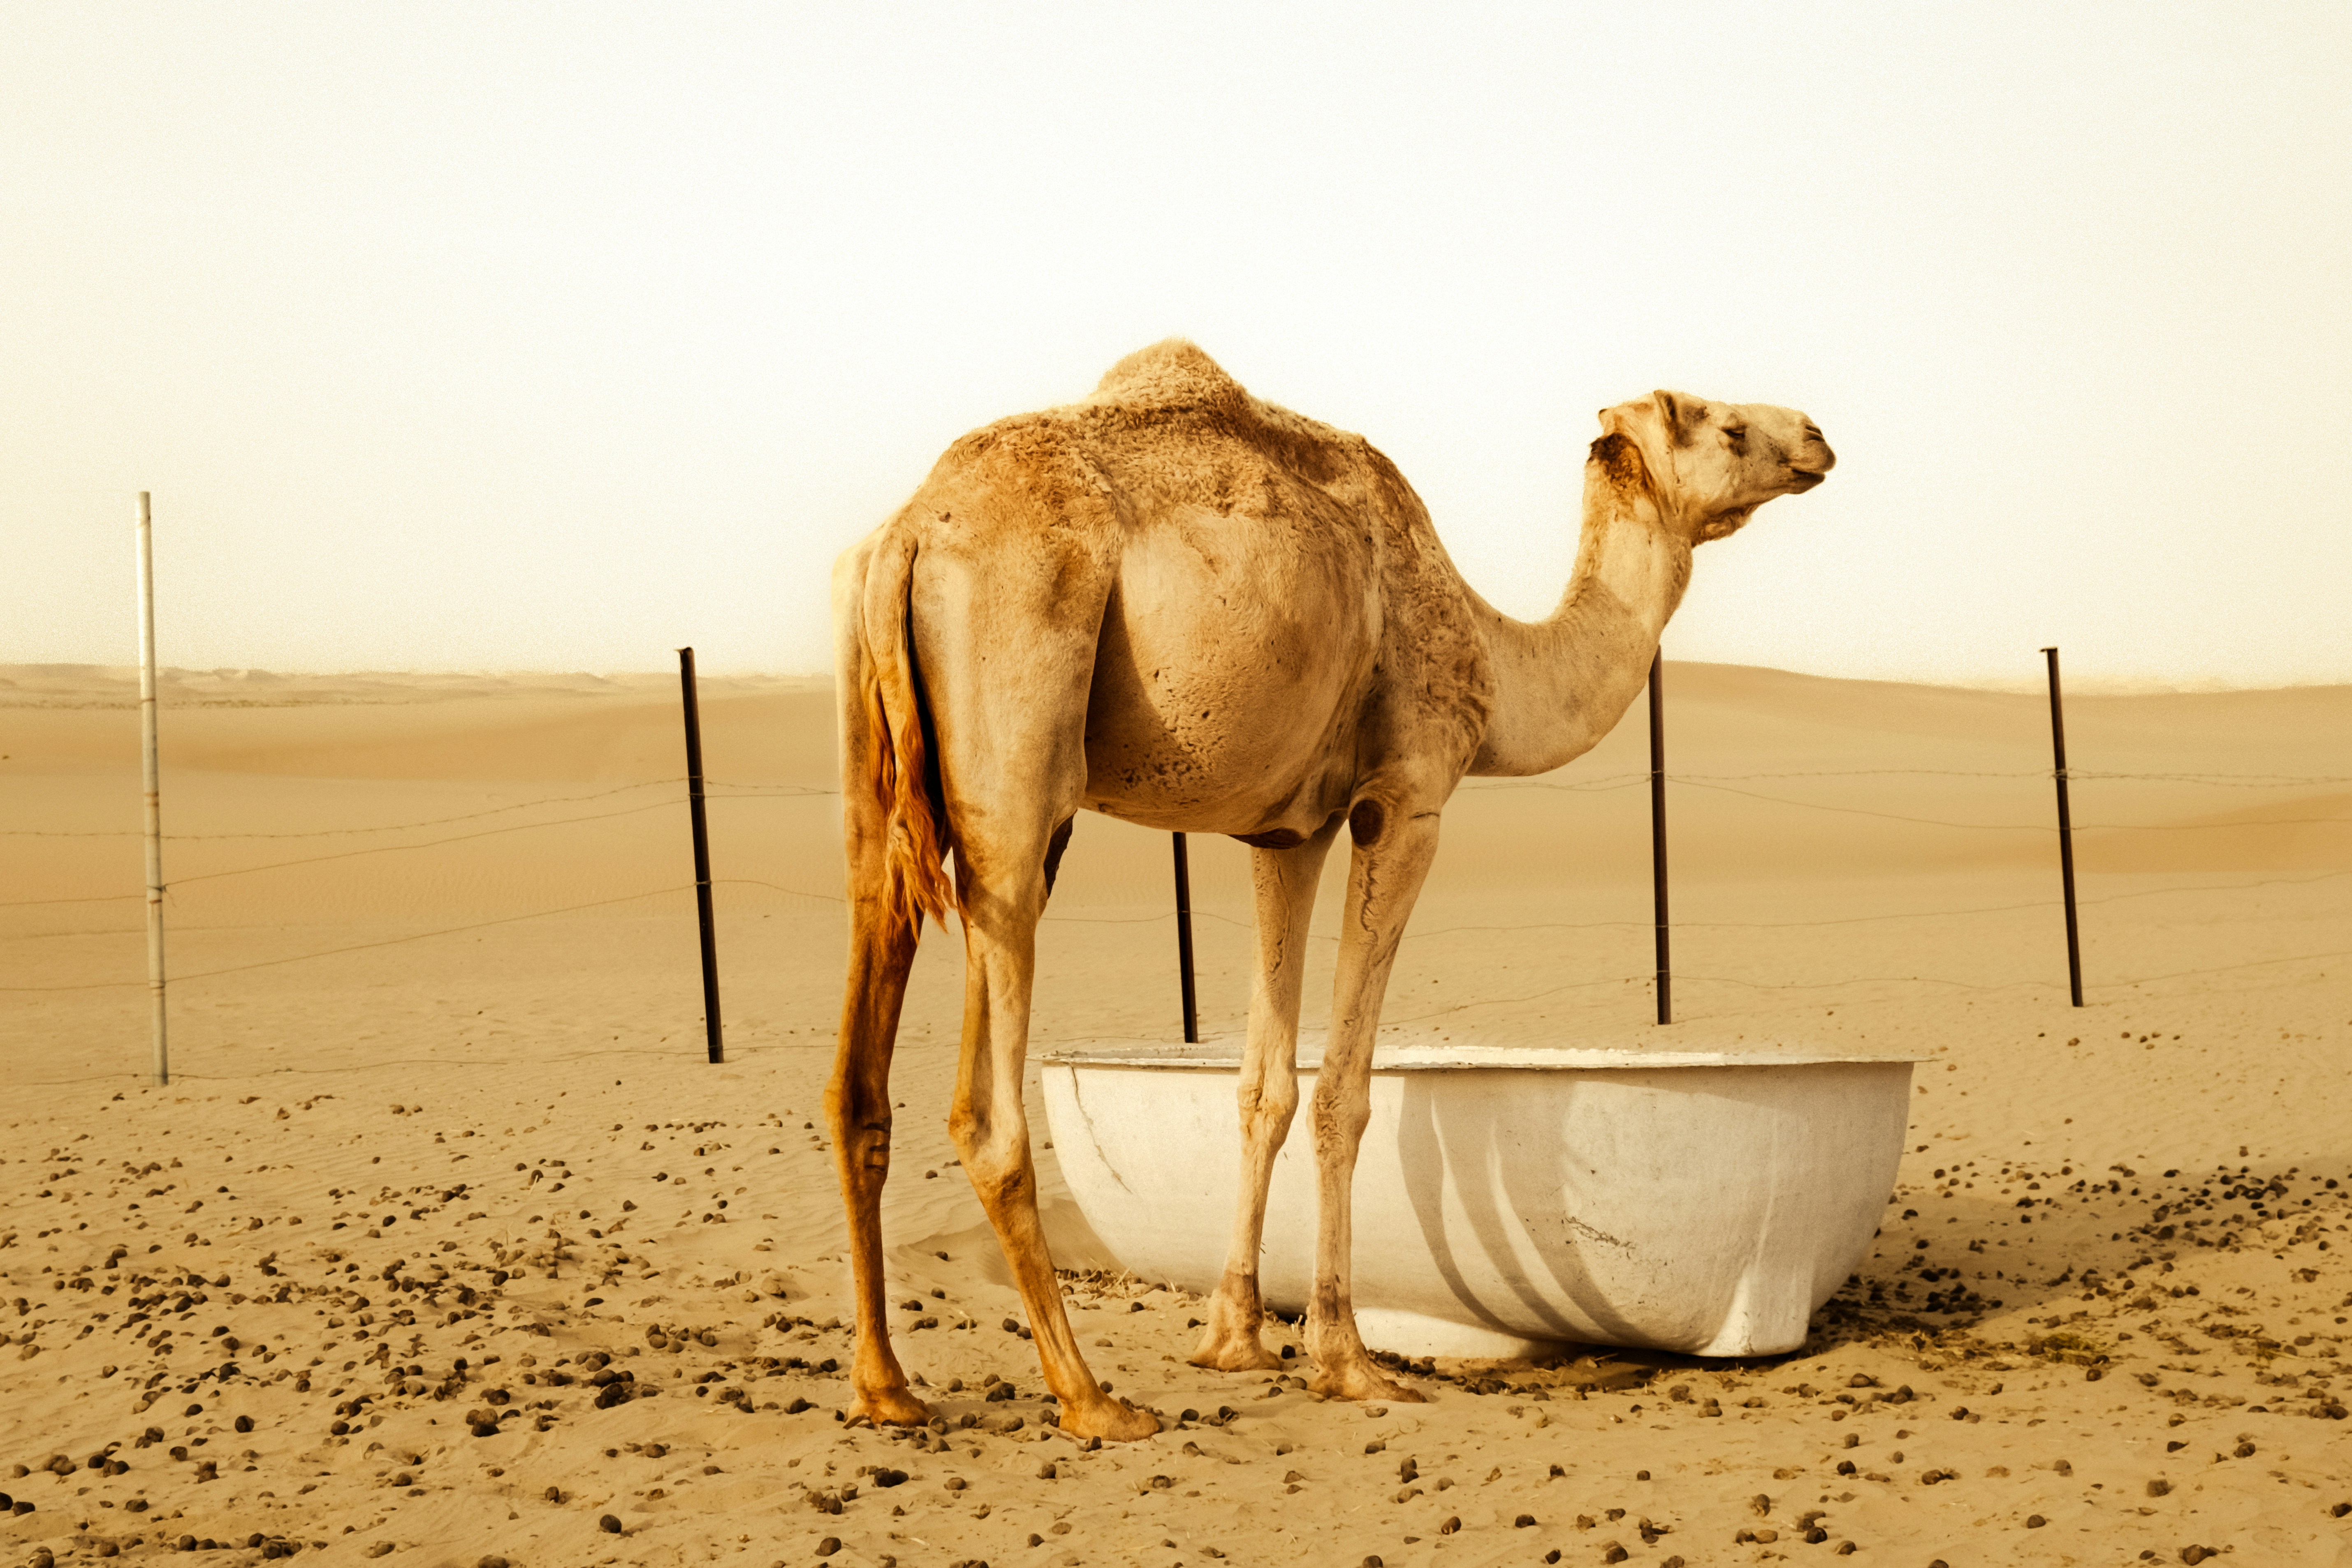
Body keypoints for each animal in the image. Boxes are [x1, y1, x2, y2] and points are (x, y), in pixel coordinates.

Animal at [827, 340, 1833, 1441]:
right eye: (1727, 426)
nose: (1818, 437)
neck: (1496, 656)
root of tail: (908, 535)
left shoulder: (1288, 832)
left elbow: (1263, 1086)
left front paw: (1233, 1336)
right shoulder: (1408, 799)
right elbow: (1345, 1091)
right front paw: (1346, 1358)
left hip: (876, 785)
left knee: (858, 1073)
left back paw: (887, 1386)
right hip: (1018, 761)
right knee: (987, 1106)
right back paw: (1090, 1395)